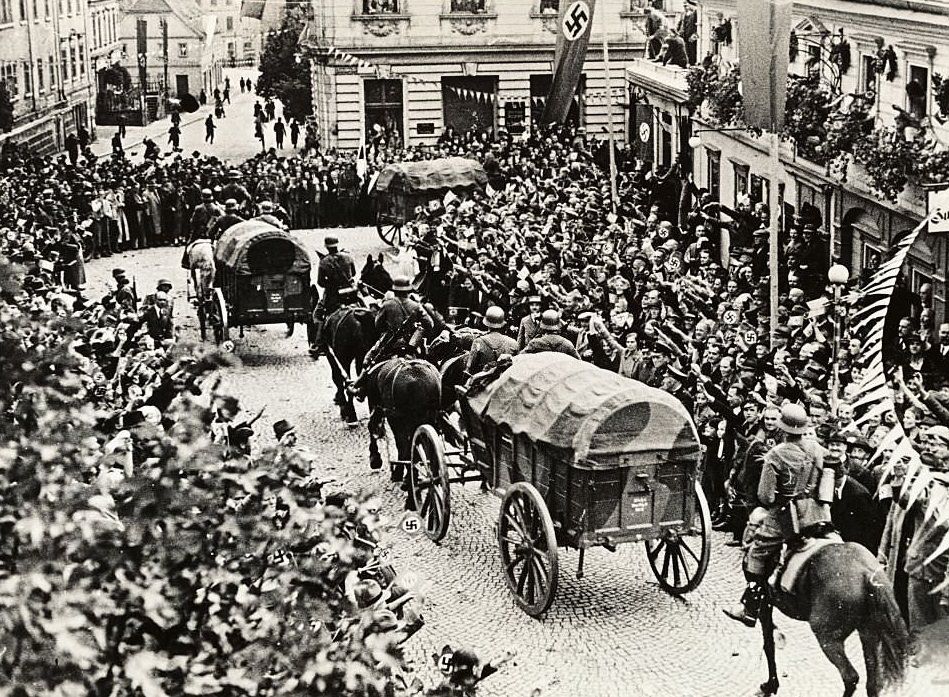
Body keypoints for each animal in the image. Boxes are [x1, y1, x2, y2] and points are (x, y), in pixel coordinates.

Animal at [756, 544, 912, 696]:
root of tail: (867, 574)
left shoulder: (764, 603)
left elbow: (768, 645)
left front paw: (771, 685)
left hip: (828, 638)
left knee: (850, 677)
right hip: (868, 634)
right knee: (873, 684)